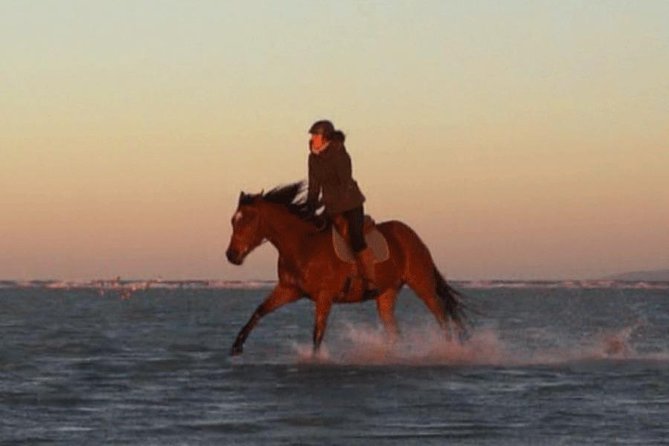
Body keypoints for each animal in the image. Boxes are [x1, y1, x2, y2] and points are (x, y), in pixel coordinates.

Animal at [224, 181, 464, 356]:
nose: (231, 255)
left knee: (441, 316)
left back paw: (448, 350)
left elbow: (318, 333)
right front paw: (236, 346)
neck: (303, 244)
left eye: (250, 219)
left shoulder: (325, 296)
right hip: (386, 294)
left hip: (421, 283)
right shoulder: (289, 290)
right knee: (395, 331)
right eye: (233, 220)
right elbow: (260, 310)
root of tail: (413, 236)